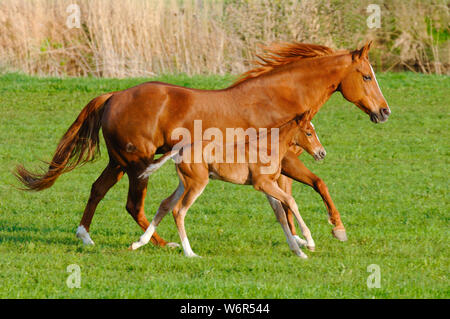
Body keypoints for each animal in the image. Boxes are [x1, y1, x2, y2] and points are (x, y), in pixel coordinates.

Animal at [131, 113, 326, 260]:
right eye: (309, 133)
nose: (321, 153)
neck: (268, 147)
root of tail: (179, 149)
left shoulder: (268, 187)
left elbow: (281, 216)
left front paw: (298, 252)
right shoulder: (262, 184)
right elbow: (291, 201)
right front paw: (309, 242)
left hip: (184, 183)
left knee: (165, 204)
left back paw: (139, 242)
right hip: (197, 184)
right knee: (179, 211)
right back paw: (190, 253)